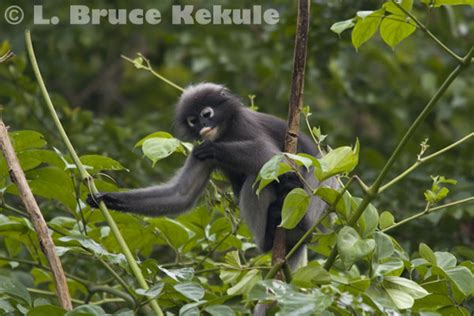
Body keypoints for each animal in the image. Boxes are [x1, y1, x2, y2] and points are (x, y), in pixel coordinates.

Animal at [86, 83, 336, 270]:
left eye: (207, 114)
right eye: (193, 120)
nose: (204, 126)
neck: (225, 132)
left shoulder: (245, 125)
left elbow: (278, 160)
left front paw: (215, 149)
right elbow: (181, 195)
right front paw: (107, 198)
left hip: (316, 203)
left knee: (265, 176)